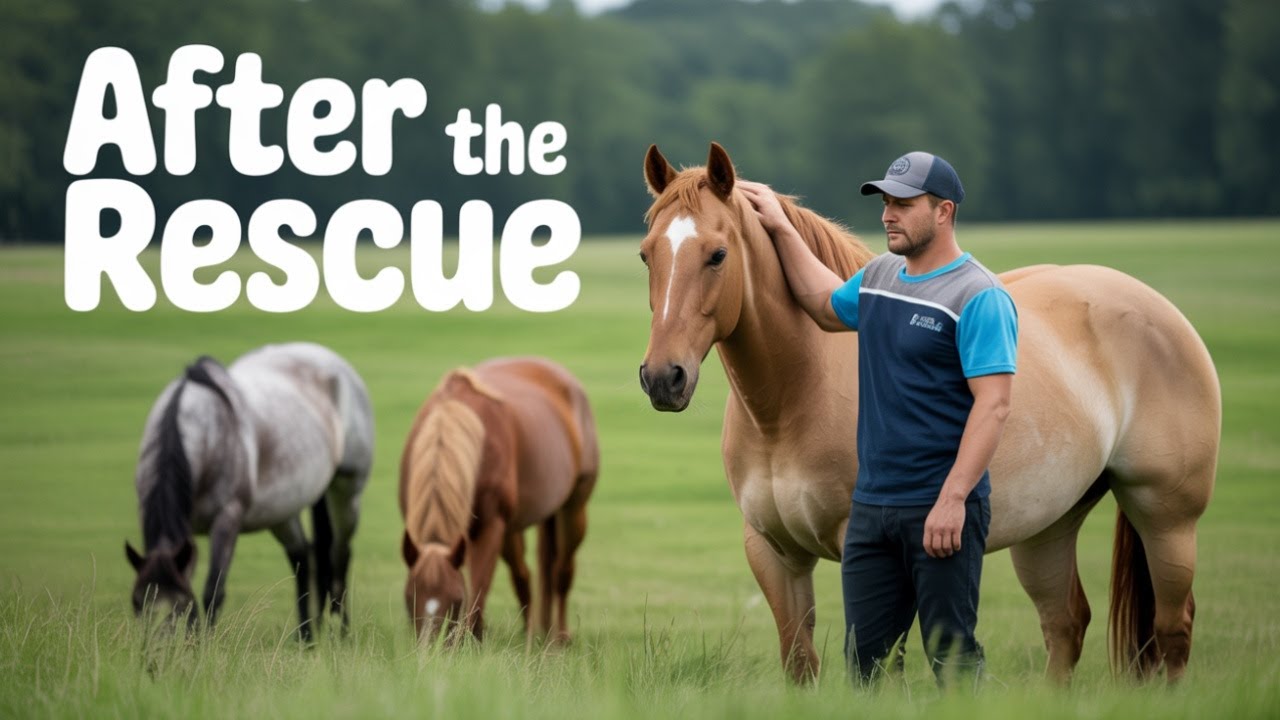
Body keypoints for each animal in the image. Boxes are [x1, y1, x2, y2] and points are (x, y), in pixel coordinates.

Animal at [125, 342, 374, 640]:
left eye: (180, 605)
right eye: (137, 603)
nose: (159, 652)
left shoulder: (227, 518)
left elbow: (213, 591)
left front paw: (203, 647)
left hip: (346, 491)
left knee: (340, 554)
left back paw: (342, 633)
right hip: (282, 510)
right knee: (303, 556)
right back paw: (306, 638)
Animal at [399, 357, 599, 645]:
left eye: (456, 600)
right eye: (408, 598)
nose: (432, 649)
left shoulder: (489, 528)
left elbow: (479, 592)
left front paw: (471, 641)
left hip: (572, 510)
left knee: (561, 574)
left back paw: (559, 638)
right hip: (512, 530)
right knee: (524, 577)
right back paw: (533, 636)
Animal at [637, 142, 1219, 684]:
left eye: (717, 255)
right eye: (646, 255)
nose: (663, 377)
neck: (791, 401)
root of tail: (1156, 307)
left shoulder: (868, 551)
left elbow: (879, 664)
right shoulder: (773, 552)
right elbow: (800, 663)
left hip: (1166, 518)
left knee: (1173, 629)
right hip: (1050, 526)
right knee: (1066, 624)